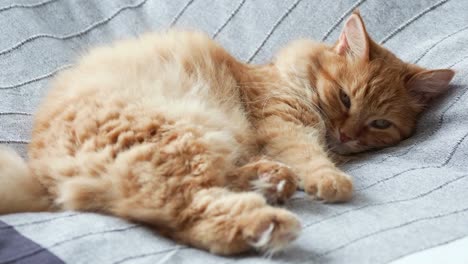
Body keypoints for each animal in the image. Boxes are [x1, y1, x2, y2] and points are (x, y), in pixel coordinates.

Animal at [0, 11, 454, 255]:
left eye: (379, 124)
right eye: (344, 98)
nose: (346, 135)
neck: (290, 75)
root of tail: (42, 174)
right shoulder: (282, 123)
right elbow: (310, 156)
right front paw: (330, 179)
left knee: (186, 215)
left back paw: (269, 182)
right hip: (180, 138)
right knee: (191, 211)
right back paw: (270, 222)